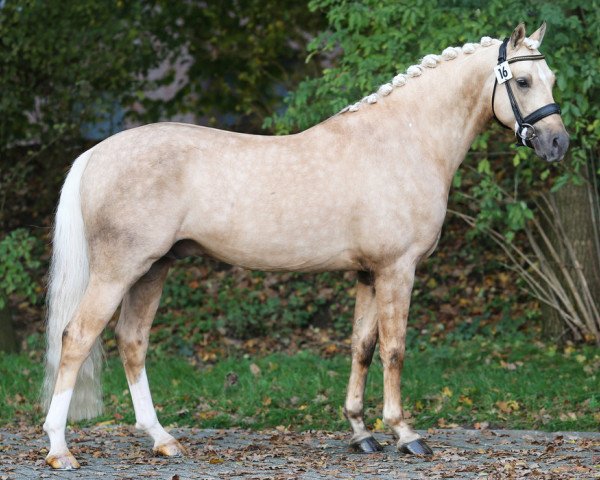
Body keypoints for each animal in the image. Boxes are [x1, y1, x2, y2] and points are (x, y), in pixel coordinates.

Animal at [41, 23, 568, 468]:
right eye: (523, 81)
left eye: (552, 78)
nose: (557, 143)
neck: (402, 141)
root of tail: (95, 152)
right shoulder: (397, 269)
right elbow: (394, 349)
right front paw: (405, 434)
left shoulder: (368, 274)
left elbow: (362, 347)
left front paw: (361, 433)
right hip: (118, 271)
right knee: (76, 338)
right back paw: (60, 449)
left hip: (153, 269)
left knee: (133, 342)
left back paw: (162, 439)